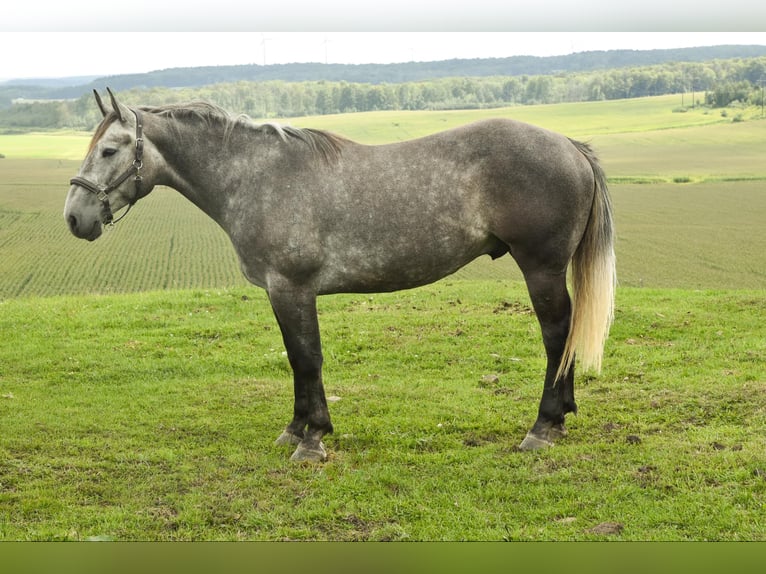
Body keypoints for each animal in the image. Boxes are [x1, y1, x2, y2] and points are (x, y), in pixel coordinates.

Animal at [64, 89, 615, 462]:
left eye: (109, 151)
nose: (74, 218)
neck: (258, 176)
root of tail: (569, 145)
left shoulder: (291, 288)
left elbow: (307, 359)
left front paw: (312, 439)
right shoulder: (280, 292)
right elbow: (295, 360)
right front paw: (296, 428)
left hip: (541, 268)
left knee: (556, 335)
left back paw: (543, 427)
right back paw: (561, 416)